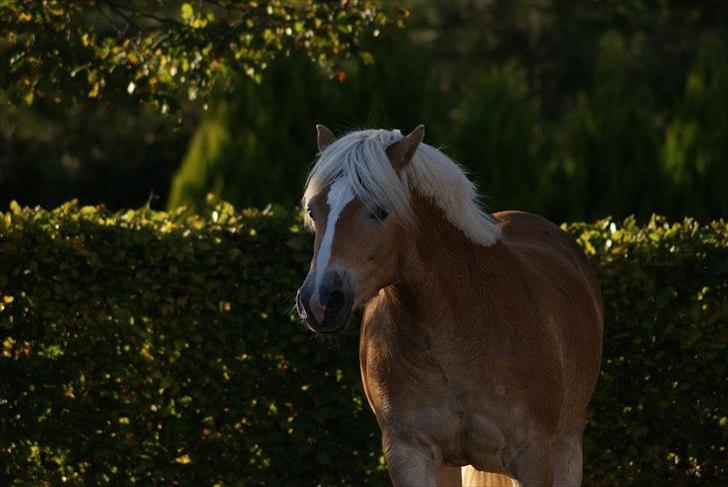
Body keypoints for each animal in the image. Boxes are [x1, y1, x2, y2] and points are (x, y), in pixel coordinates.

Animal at [296, 125, 604, 487]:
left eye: (380, 210)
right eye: (313, 211)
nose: (319, 301)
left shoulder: (533, 457)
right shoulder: (409, 455)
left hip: (567, 448)